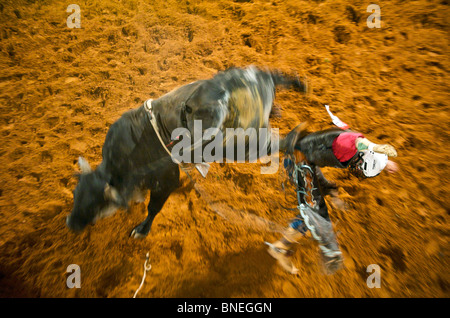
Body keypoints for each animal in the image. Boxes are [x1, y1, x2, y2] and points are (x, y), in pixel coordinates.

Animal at [66, 66, 306, 237]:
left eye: (95, 206)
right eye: (76, 195)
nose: (70, 223)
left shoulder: (166, 181)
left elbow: (153, 208)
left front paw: (142, 229)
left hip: (245, 146)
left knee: (278, 141)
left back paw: (296, 139)